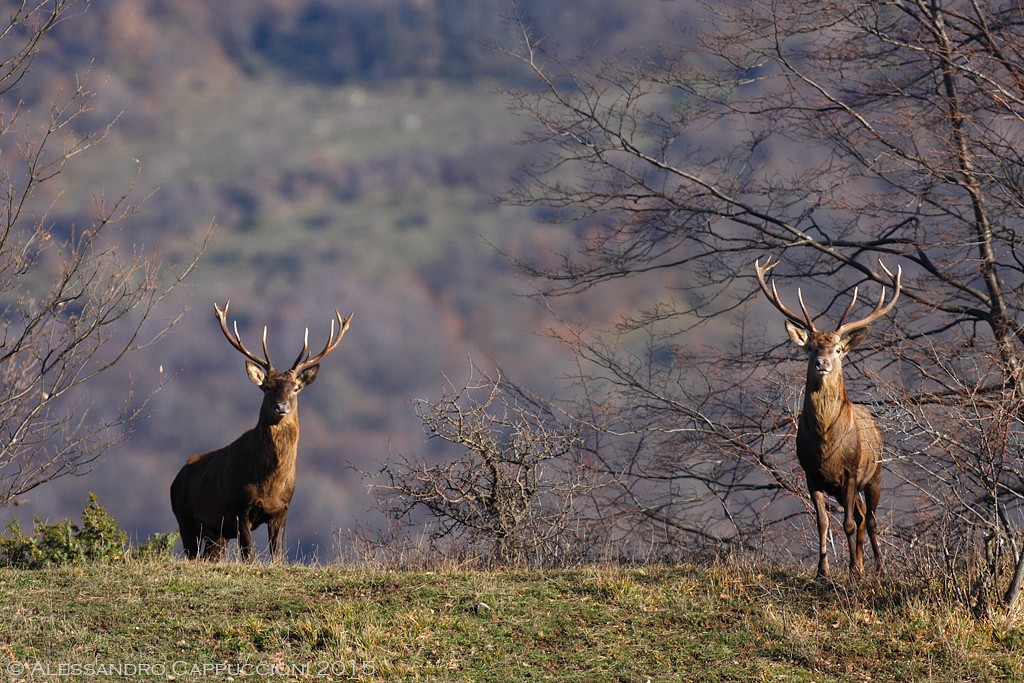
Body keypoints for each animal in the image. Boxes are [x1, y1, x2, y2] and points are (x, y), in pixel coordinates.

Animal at [169, 303, 350, 561]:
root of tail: (176, 479)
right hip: (185, 520)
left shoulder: (281, 511)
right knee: (192, 553)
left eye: (295, 388)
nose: (281, 406)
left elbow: (278, 556)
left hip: (216, 534)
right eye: (267, 387)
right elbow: (249, 556)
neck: (269, 483)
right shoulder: (239, 509)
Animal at [753, 259, 905, 581]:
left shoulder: (850, 471)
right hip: (841, 487)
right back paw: (862, 564)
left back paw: (876, 566)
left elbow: (847, 523)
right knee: (861, 515)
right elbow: (822, 522)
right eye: (810, 347)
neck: (826, 444)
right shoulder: (812, 474)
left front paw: (851, 570)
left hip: (875, 473)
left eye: (836, 349)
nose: (822, 363)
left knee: (870, 519)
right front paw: (823, 571)